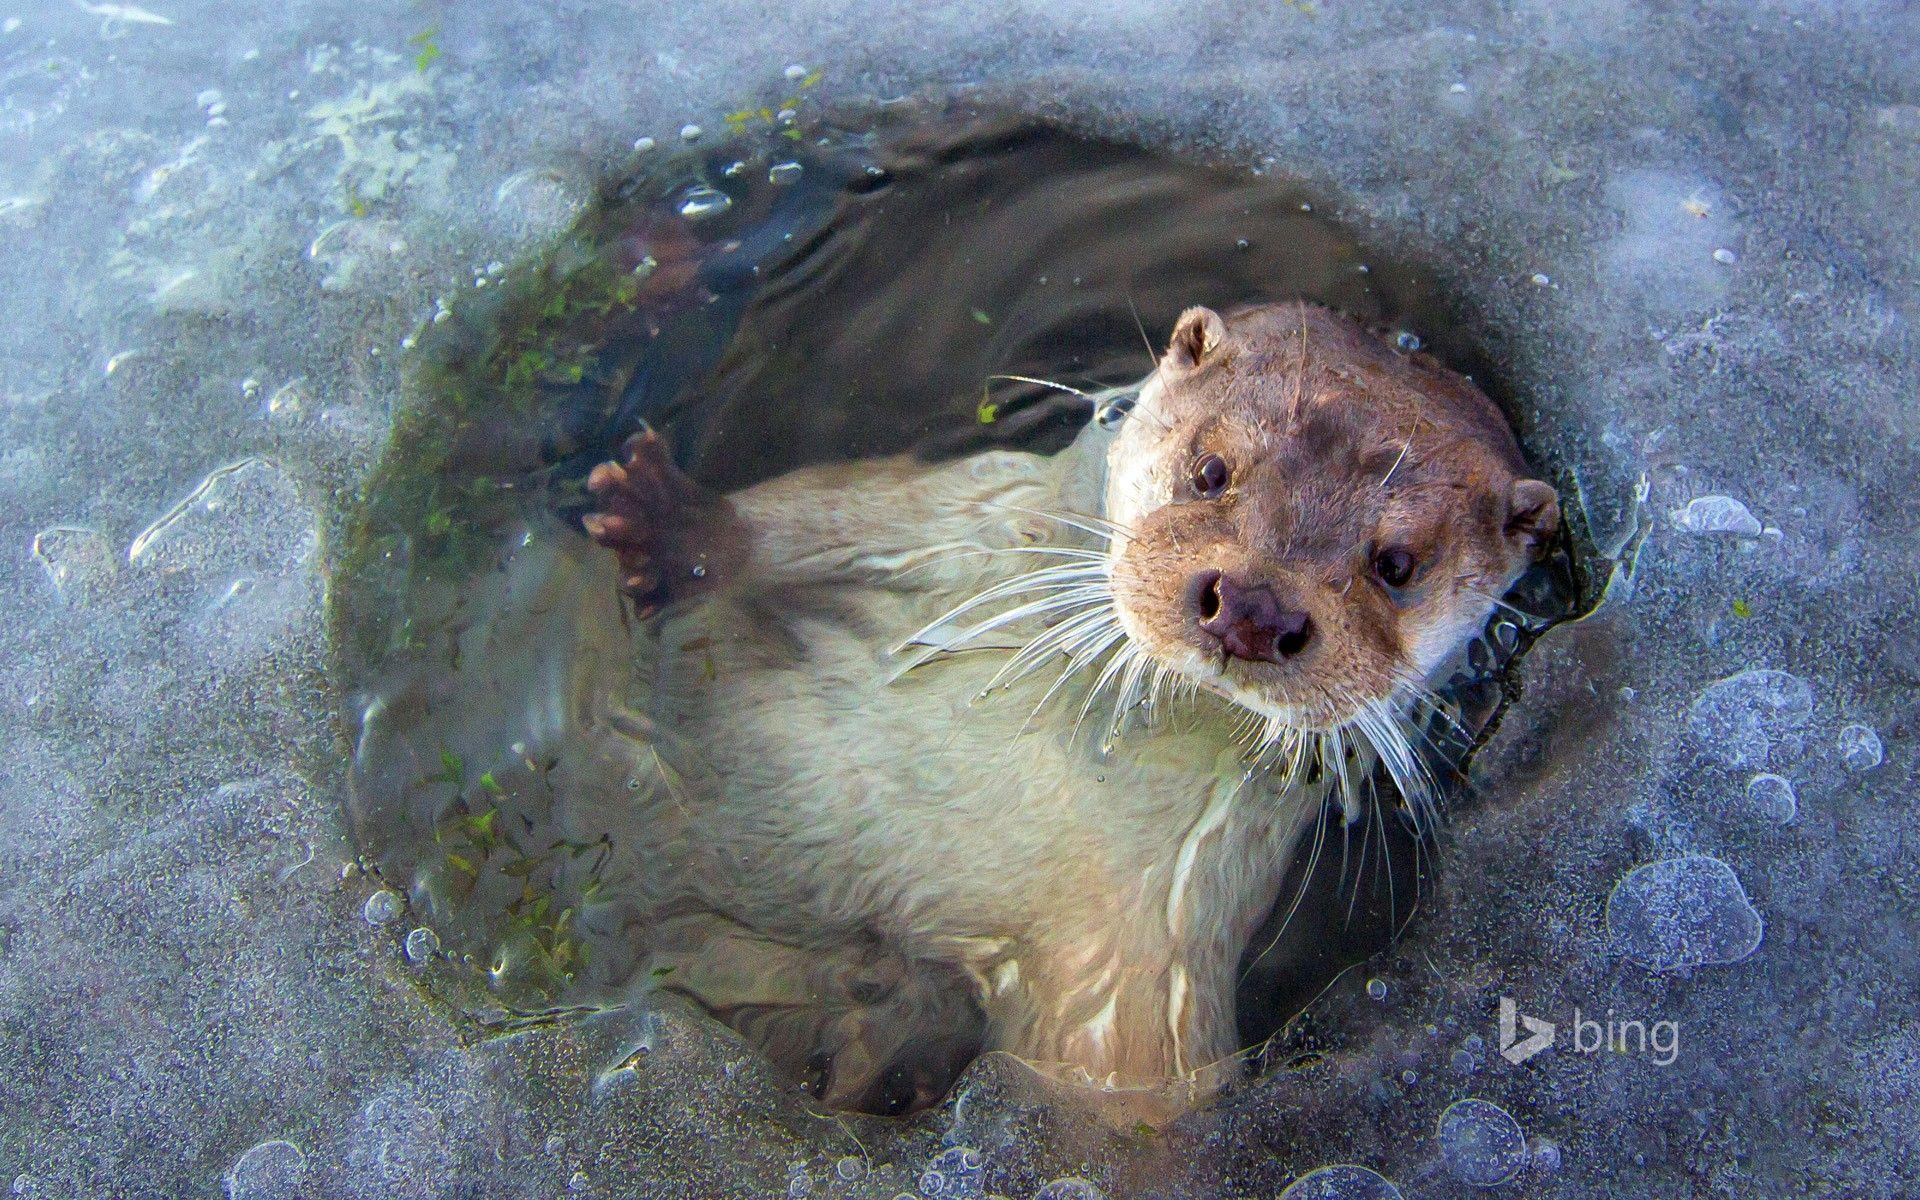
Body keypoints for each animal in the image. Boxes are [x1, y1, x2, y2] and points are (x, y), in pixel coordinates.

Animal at [579, 301, 1559, 1113]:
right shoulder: (970, 509)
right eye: (1211, 470)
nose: (1255, 607)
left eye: (1397, 565)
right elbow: (823, 511)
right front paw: (673, 524)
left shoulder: (1153, 954)